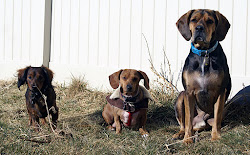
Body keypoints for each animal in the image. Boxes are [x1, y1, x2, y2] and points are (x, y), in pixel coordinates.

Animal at [173, 9, 231, 143]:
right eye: (193, 20)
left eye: (210, 21)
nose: (199, 28)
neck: (204, 54)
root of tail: (199, 122)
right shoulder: (189, 92)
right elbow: (188, 119)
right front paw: (187, 139)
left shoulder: (220, 92)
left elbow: (217, 118)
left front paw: (215, 136)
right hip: (181, 97)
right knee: (184, 124)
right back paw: (180, 134)